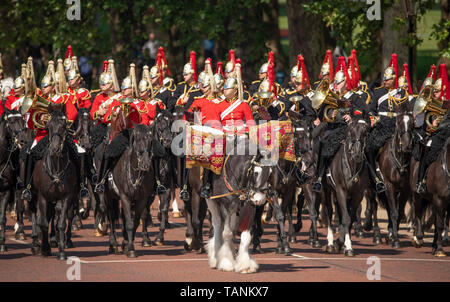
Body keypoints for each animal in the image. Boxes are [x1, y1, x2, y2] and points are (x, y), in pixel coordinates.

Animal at [207, 136, 270, 272]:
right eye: (256, 173)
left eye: (270, 172)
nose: (261, 200)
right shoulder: (227, 207)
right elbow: (226, 233)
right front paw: (226, 262)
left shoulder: (249, 208)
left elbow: (245, 236)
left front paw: (245, 264)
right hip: (211, 202)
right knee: (217, 225)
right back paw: (215, 257)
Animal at [322, 115, 370, 255]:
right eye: (350, 132)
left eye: (365, 132)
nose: (357, 154)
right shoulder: (341, 190)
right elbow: (347, 218)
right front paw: (347, 246)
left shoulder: (358, 194)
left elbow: (350, 218)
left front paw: (343, 244)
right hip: (326, 189)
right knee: (329, 211)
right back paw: (330, 243)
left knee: (340, 212)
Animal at [374, 101, 414, 248]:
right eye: (399, 123)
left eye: (412, 123)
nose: (407, 147)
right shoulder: (389, 186)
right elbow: (394, 212)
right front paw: (395, 240)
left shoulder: (405, 189)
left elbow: (399, 211)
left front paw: (393, 236)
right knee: (376, 207)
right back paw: (378, 235)